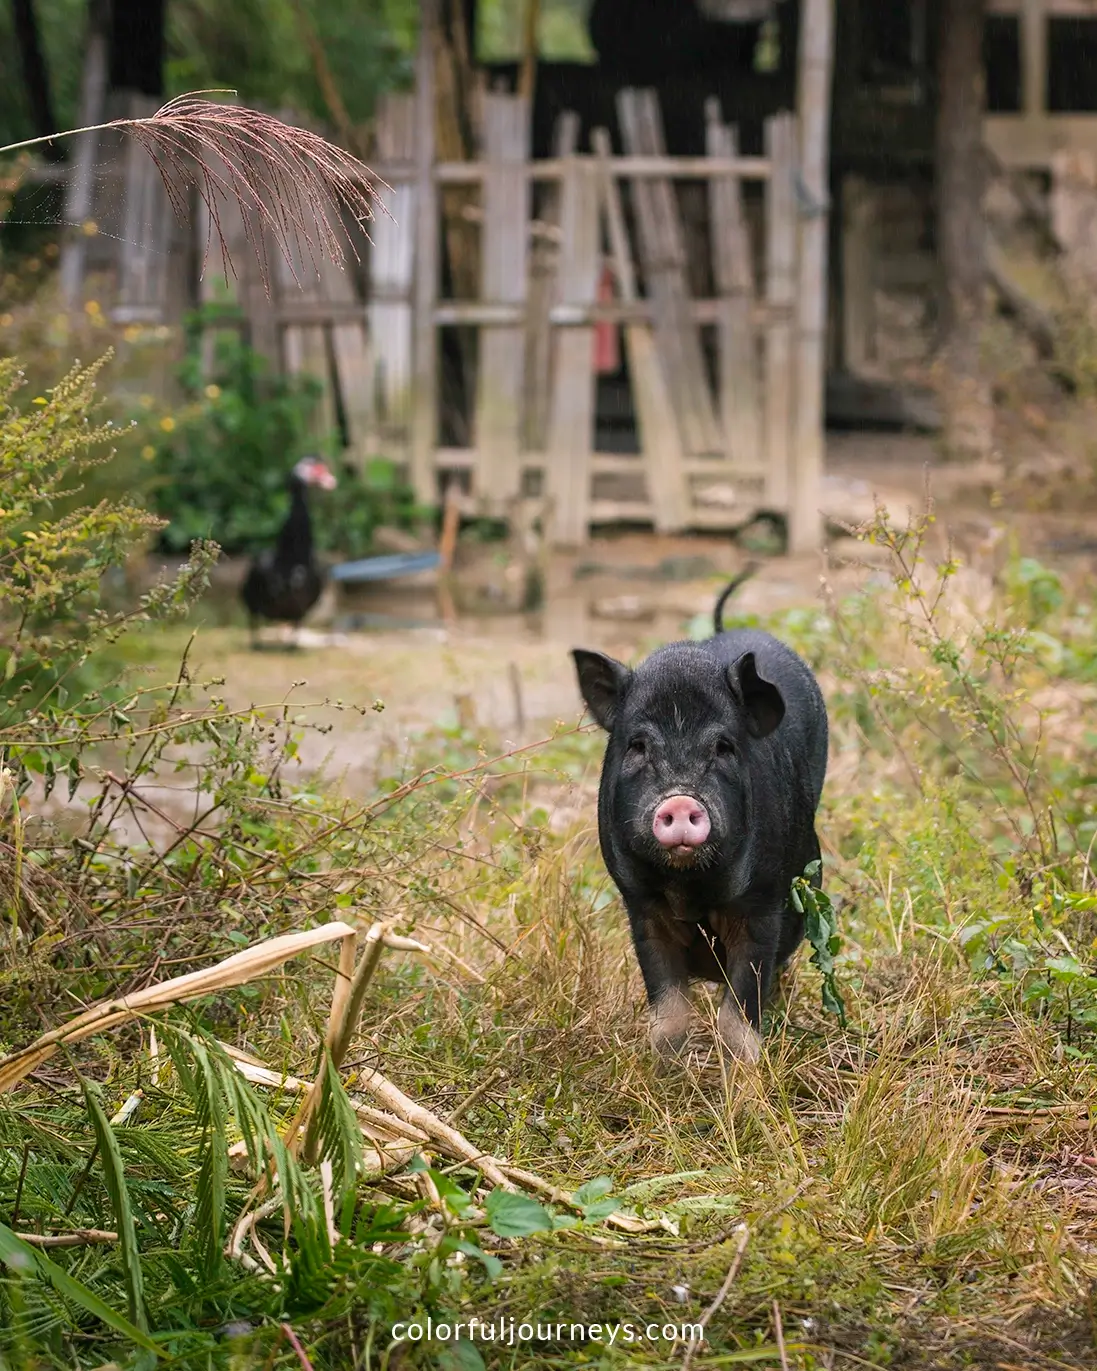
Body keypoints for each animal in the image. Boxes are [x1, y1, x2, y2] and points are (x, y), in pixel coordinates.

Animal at [571, 567, 828, 1063]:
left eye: (724, 746)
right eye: (638, 745)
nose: (680, 800)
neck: (690, 886)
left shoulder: (764, 902)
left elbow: (738, 1016)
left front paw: (745, 1076)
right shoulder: (640, 904)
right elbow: (668, 1014)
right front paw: (665, 1072)